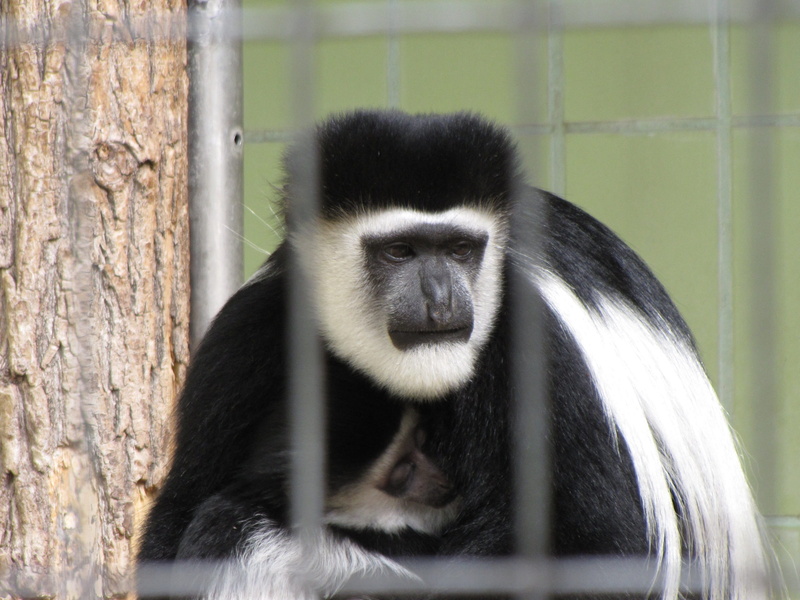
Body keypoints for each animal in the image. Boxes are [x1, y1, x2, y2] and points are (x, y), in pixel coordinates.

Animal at [137, 110, 770, 600]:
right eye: (400, 251)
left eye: (462, 249)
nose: (441, 299)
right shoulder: (251, 330)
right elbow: (176, 518)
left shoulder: (546, 349)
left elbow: (601, 550)